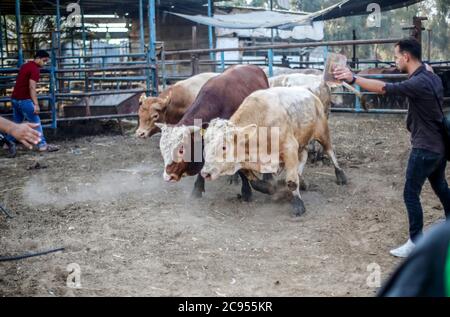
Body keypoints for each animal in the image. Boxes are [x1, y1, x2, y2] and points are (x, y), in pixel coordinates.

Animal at [201, 86, 348, 215]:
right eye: (205, 146)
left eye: (224, 146)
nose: (205, 173)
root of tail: (311, 94)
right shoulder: (245, 160)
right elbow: (255, 182)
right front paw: (273, 188)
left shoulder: (289, 148)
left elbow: (291, 181)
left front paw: (298, 204)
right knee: (304, 156)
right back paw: (302, 179)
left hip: (322, 132)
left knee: (330, 151)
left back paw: (341, 176)